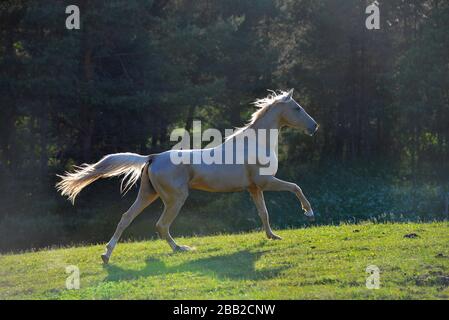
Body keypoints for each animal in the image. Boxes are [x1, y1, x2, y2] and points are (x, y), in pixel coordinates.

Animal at [57, 89, 318, 262]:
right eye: (297, 108)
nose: (314, 126)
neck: (257, 143)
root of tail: (152, 158)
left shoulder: (255, 188)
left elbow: (263, 213)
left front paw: (273, 236)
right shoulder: (265, 182)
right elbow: (295, 187)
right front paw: (309, 213)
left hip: (147, 195)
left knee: (125, 218)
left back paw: (106, 255)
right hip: (176, 198)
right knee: (161, 225)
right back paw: (180, 249)